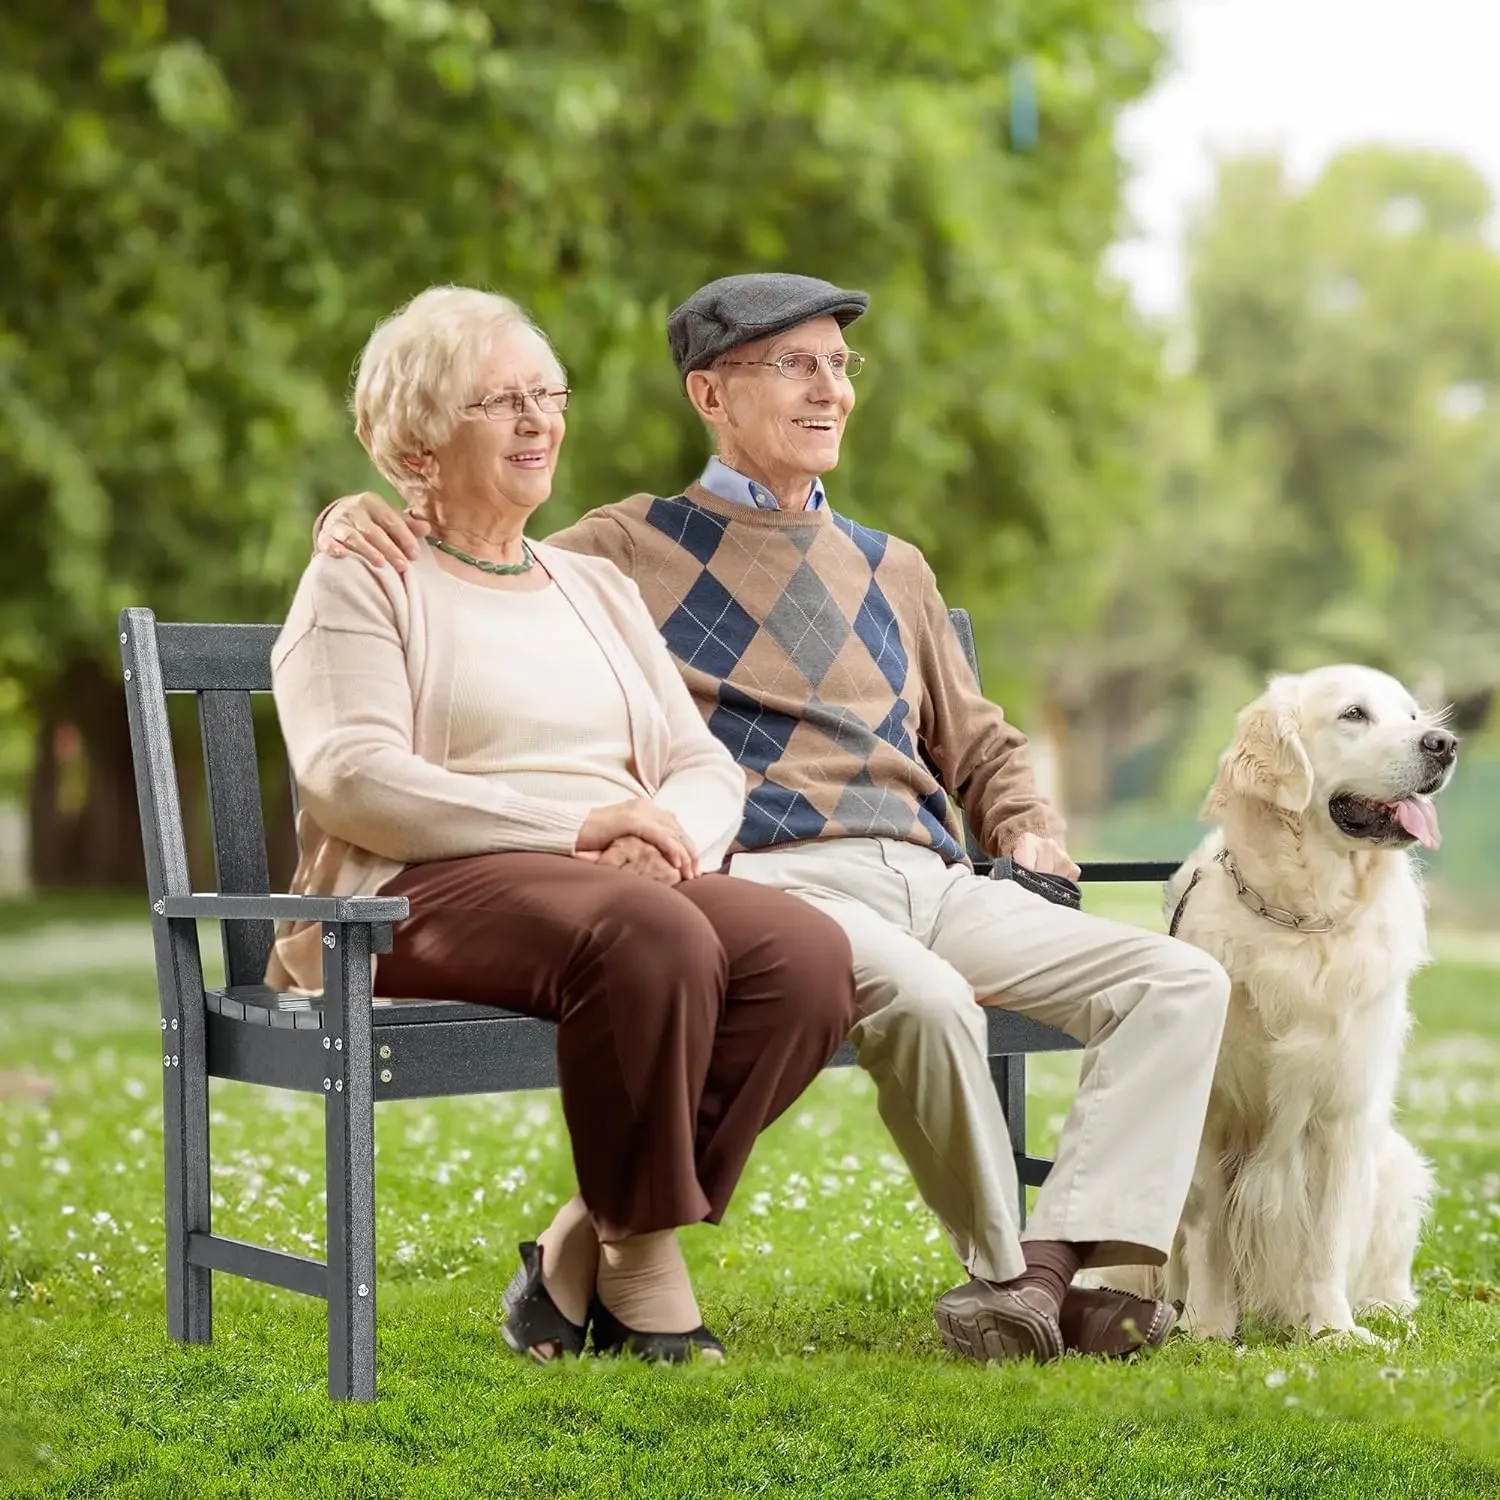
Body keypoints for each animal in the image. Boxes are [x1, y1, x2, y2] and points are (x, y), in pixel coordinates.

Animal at [1092, 663, 1452, 1344]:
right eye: (1354, 714)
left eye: (1414, 716)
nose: (1444, 745)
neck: (1302, 920)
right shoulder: (1212, 1109)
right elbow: (1208, 1231)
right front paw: (1208, 1326)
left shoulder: (1343, 1111)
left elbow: (1328, 1239)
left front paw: (1333, 1330)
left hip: (1396, 1165)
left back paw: (1383, 1309)